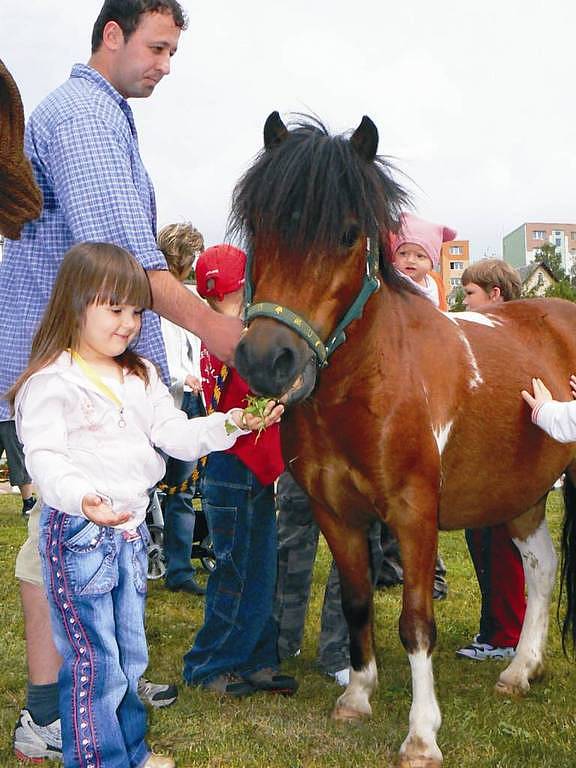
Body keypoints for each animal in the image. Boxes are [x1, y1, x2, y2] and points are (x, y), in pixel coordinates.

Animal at [228, 112, 576, 768]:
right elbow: (356, 601)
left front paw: (421, 734)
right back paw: (520, 671)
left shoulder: (415, 513)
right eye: (258, 226)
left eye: (347, 234)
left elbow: (416, 621)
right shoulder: (336, 513)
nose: (267, 361)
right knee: (542, 567)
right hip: (522, 493)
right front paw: (357, 697)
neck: (369, 384)